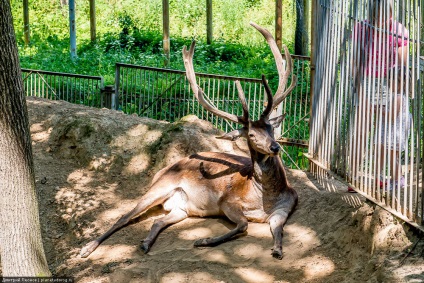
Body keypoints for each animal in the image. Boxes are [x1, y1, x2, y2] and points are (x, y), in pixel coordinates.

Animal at [80, 22, 298, 262]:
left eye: (271, 128)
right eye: (251, 135)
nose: (275, 147)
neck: (264, 198)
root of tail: (162, 170)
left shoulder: (285, 207)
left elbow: (279, 230)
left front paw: (277, 249)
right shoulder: (227, 202)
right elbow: (242, 225)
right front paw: (203, 240)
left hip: (181, 208)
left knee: (158, 220)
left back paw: (145, 243)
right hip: (158, 188)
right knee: (124, 216)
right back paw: (87, 248)